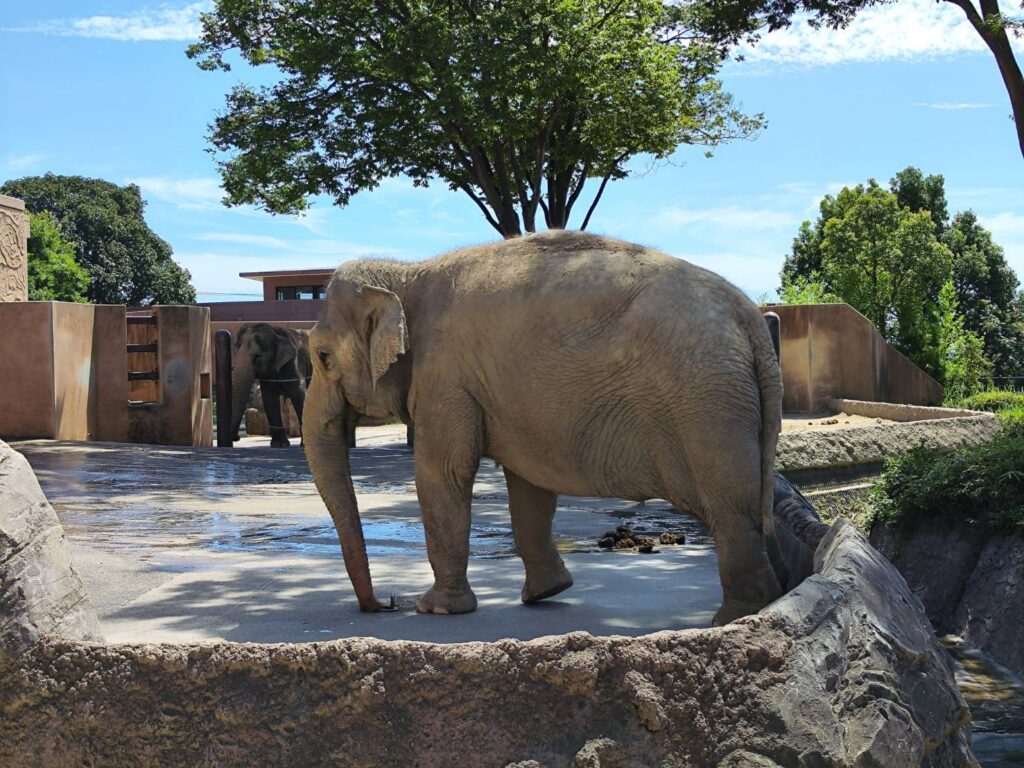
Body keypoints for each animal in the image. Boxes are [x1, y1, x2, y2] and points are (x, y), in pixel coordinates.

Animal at [303, 228, 782, 626]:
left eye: (322, 357)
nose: (385, 604)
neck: (405, 273)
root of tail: (750, 318)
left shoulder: (446, 379)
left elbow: (443, 475)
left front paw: (436, 609)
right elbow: (528, 486)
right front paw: (546, 593)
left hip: (708, 405)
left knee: (731, 509)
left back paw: (735, 620)